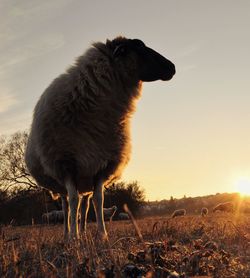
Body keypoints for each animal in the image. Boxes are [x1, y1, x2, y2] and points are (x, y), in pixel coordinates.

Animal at [24, 35, 175, 240]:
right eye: (139, 47)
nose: (172, 67)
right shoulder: (66, 164)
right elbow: (73, 201)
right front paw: (73, 237)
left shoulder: (101, 165)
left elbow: (98, 200)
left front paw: (102, 235)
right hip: (61, 177)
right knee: (67, 204)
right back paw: (68, 234)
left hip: (86, 175)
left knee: (85, 204)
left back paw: (85, 232)